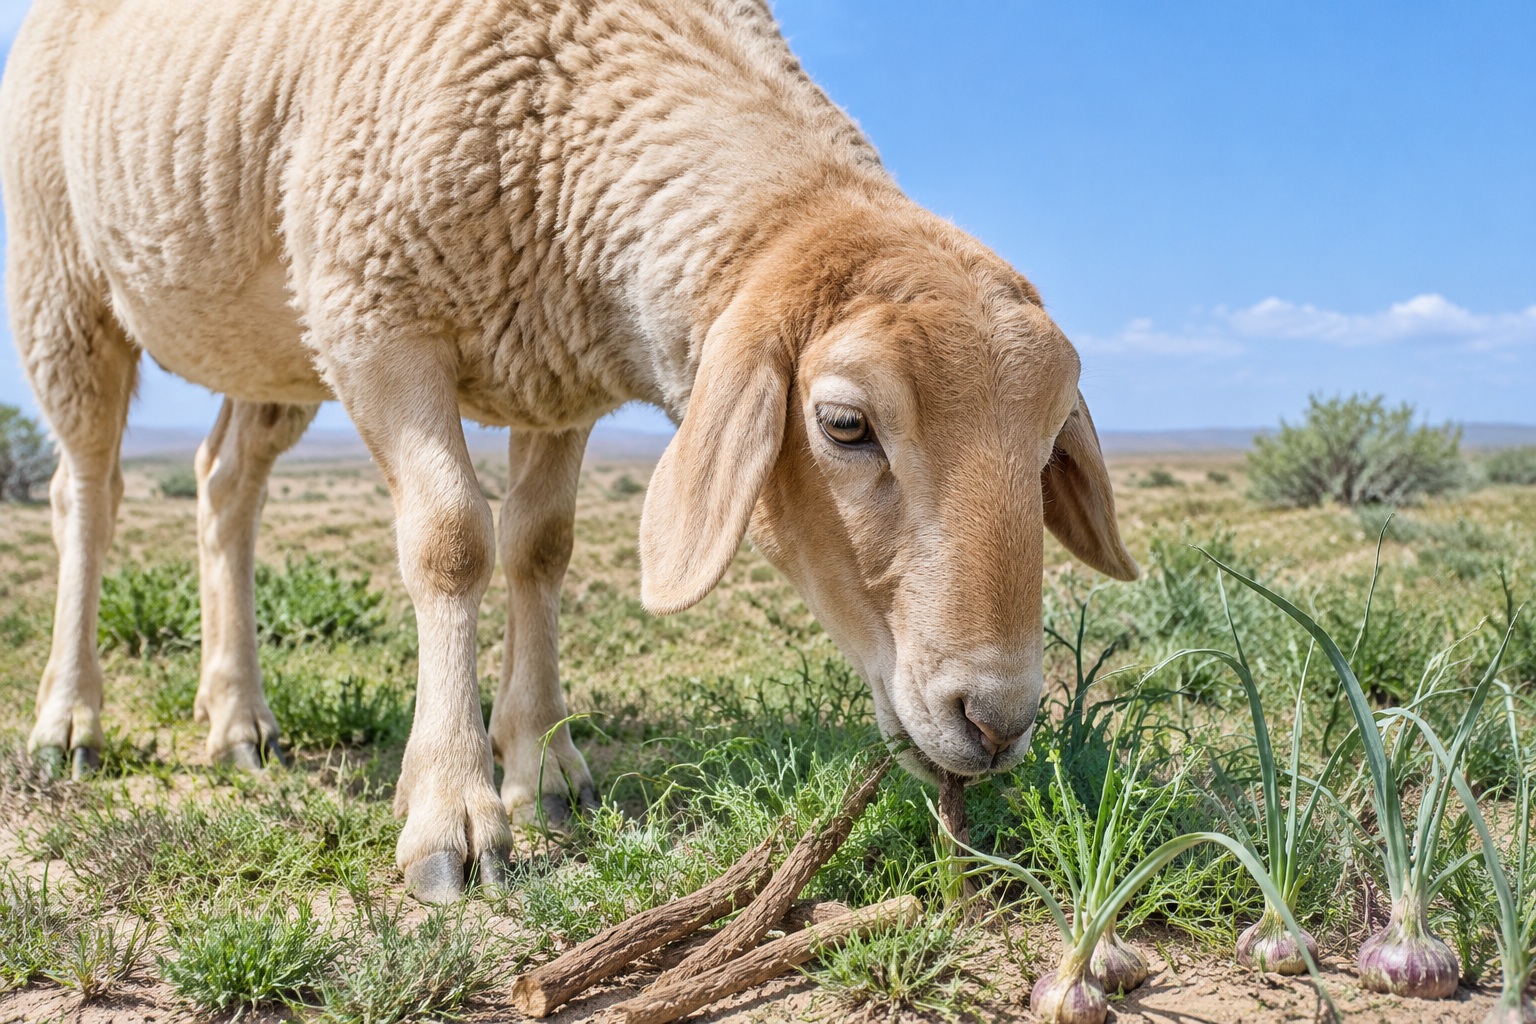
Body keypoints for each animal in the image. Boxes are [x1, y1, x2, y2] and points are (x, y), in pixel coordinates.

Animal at [0, 0, 1137, 902]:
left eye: (1048, 441)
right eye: (846, 425)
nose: (998, 719)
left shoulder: (552, 368)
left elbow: (539, 546)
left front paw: (543, 768)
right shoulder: (374, 317)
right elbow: (453, 539)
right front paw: (454, 810)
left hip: (272, 339)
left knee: (222, 485)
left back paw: (237, 720)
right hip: (68, 288)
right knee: (87, 496)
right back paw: (69, 723)